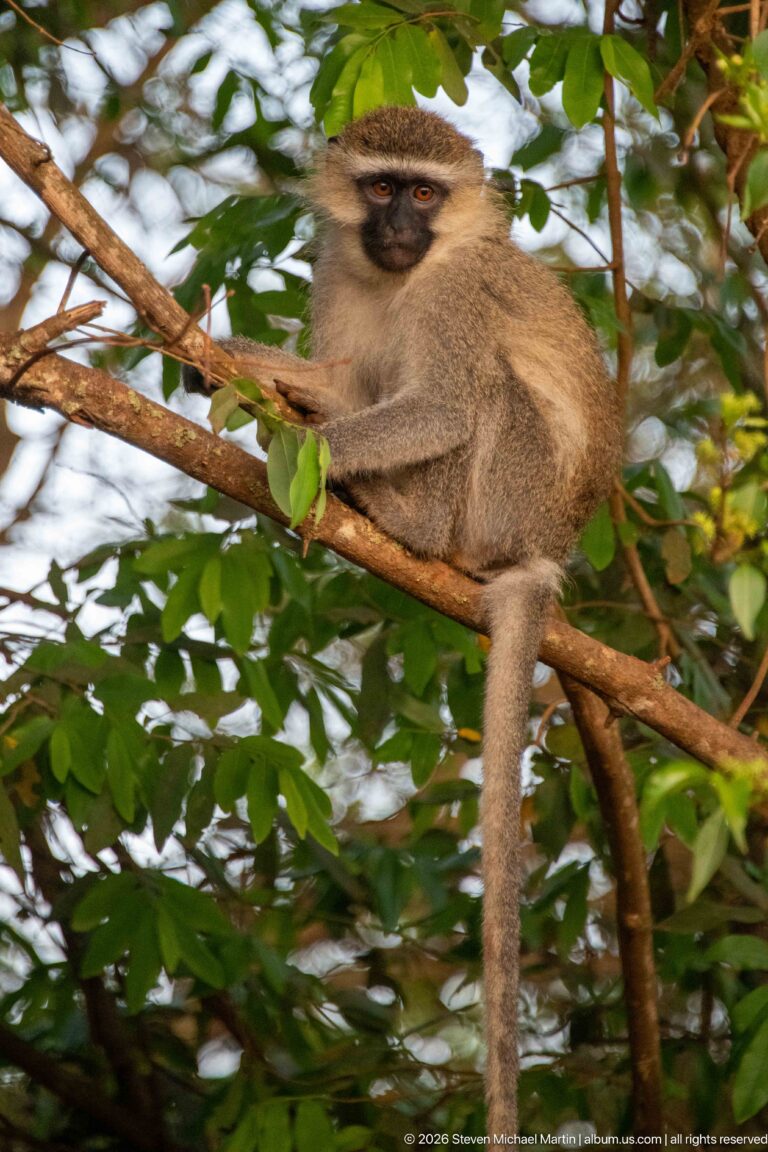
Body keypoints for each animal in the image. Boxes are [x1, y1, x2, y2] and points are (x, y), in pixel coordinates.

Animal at [183, 106, 623, 1136]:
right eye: (381, 187)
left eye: (425, 193)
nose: (395, 225)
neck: (408, 272)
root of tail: (543, 548)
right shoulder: (335, 269)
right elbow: (351, 382)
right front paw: (253, 368)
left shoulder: (455, 298)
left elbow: (440, 408)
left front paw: (297, 447)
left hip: (506, 498)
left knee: (484, 397)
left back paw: (399, 517)